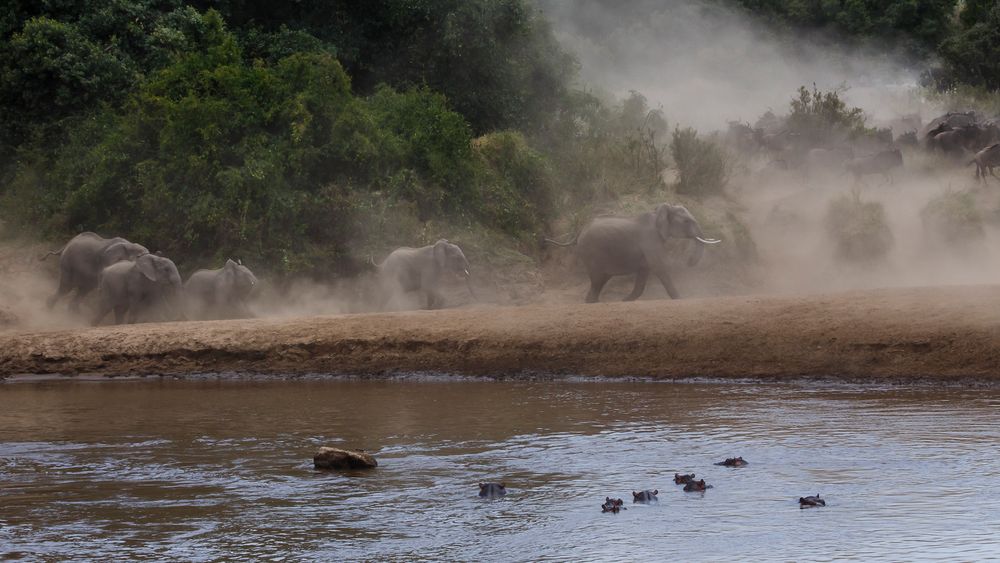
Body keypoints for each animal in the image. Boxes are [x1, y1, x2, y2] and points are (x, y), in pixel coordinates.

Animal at [548, 200, 720, 302]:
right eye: (686, 221)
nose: (689, 262)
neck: (658, 212)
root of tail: (579, 231)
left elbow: (644, 271)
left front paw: (625, 301)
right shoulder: (650, 239)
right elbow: (659, 267)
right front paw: (679, 299)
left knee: (600, 280)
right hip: (591, 253)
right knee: (597, 280)